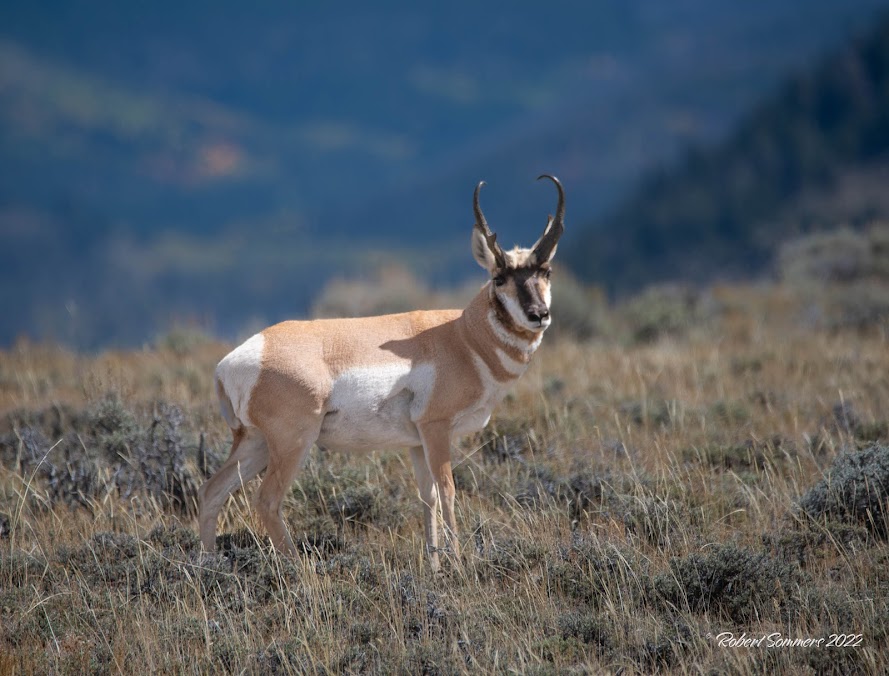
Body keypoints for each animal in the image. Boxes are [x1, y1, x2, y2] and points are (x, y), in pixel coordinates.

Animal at [198, 175, 565, 570]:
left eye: (546, 271)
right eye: (499, 278)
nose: (538, 315)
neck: (462, 336)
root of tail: (232, 361)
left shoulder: (417, 442)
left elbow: (427, 497)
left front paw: (435, 569)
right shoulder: (436, 430)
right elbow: (448, 492)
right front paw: (459, 565)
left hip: (255, 443)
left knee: (211, 491)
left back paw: (209, 566)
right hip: (292, 442)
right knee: (266, 500)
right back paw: (300, 568)